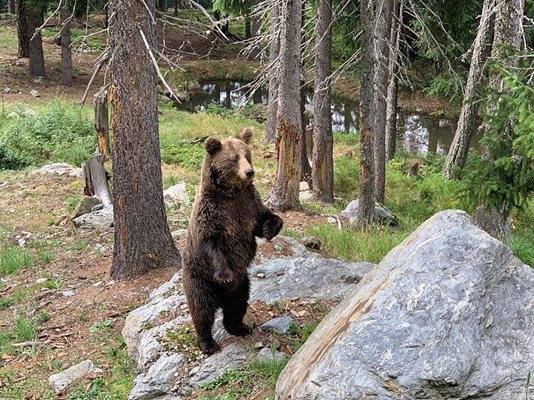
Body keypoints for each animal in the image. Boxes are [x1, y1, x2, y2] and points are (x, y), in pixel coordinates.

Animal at [183, 127, 284, 354]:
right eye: (233, 158)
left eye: (247, 154)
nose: (249, 172)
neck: (230, 194)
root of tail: (221, 298)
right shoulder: (212, 215)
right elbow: (212, 244)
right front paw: (225, 275)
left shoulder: (248, 206)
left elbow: (264, 218)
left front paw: (269, 228)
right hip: (199, 278)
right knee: (202, 310)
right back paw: (207, 343)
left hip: (243, 281)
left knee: (237, 304)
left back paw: (240, 327)